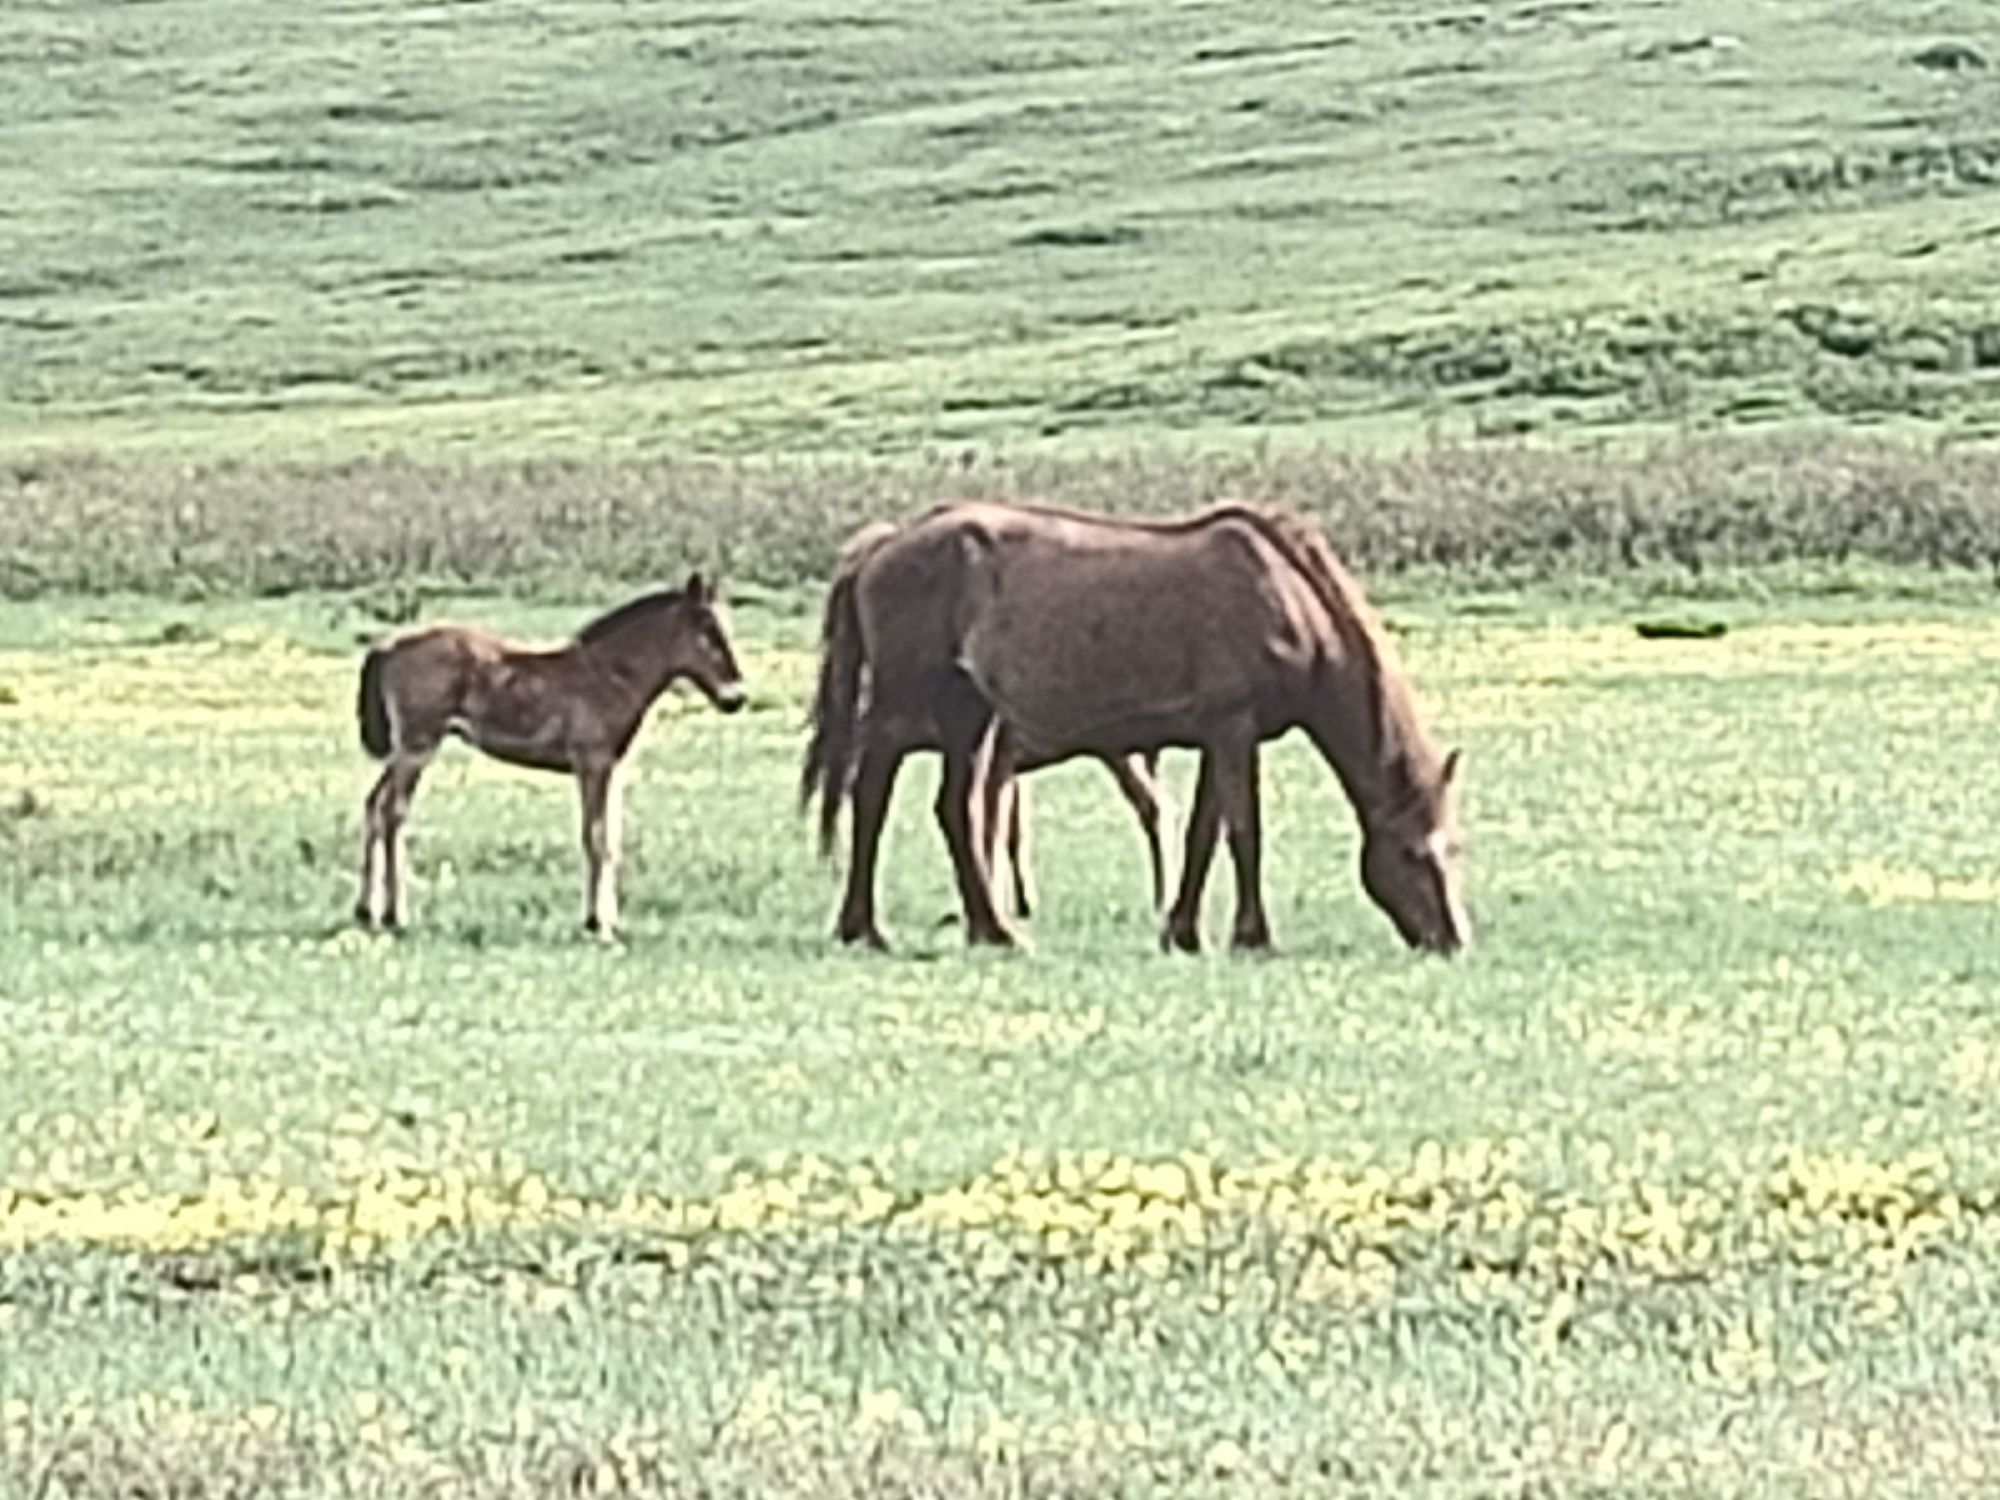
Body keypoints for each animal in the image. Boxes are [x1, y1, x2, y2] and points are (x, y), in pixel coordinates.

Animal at [352, 576, 744, 940]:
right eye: (707, 629)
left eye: (726, 627)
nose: (736, 698)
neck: (609, 675)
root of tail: (386, 646)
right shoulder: (592, 765)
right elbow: (596, 838)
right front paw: (597, 925)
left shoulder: (612, 770)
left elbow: (612, 840)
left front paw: (611, 922)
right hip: (417, 748)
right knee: (394, 813)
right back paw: (395, 916)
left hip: (404, 751)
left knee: (374, 804)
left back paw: (366, 912)